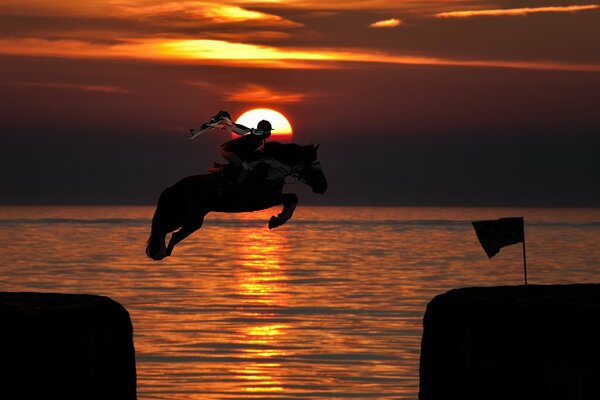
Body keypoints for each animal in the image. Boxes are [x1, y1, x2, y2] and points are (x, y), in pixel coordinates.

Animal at [146, 142, 328, 260]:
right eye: (314, 167)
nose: (324, 187)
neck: (272, 168)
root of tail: (172, 188)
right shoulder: (263, 199)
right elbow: (292, 198)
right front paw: (276, 220)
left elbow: (292, 199)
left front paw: (277, 220)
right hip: (178, 216)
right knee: (161, 230)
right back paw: (159, 252)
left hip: (194, 221)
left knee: (173, 235)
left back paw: (162, 252)